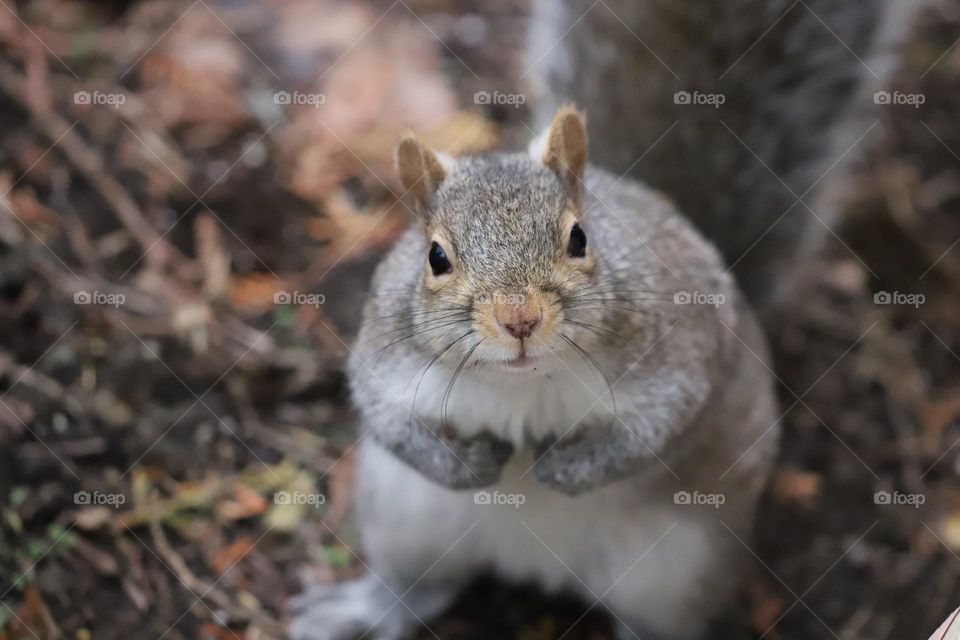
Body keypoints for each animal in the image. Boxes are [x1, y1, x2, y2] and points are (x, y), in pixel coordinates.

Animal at [292, 1, 922, 639]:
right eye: (436, 257)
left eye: (578, 238)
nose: (519, 319)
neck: (523, 385)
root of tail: (534, 566)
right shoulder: (386, 356)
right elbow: (387, 416)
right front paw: (468, 465)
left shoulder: (676, 358)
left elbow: (655, 427)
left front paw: (564, 471)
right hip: (402, 515)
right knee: (420, 586)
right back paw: (366, 609)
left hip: (678, 572)